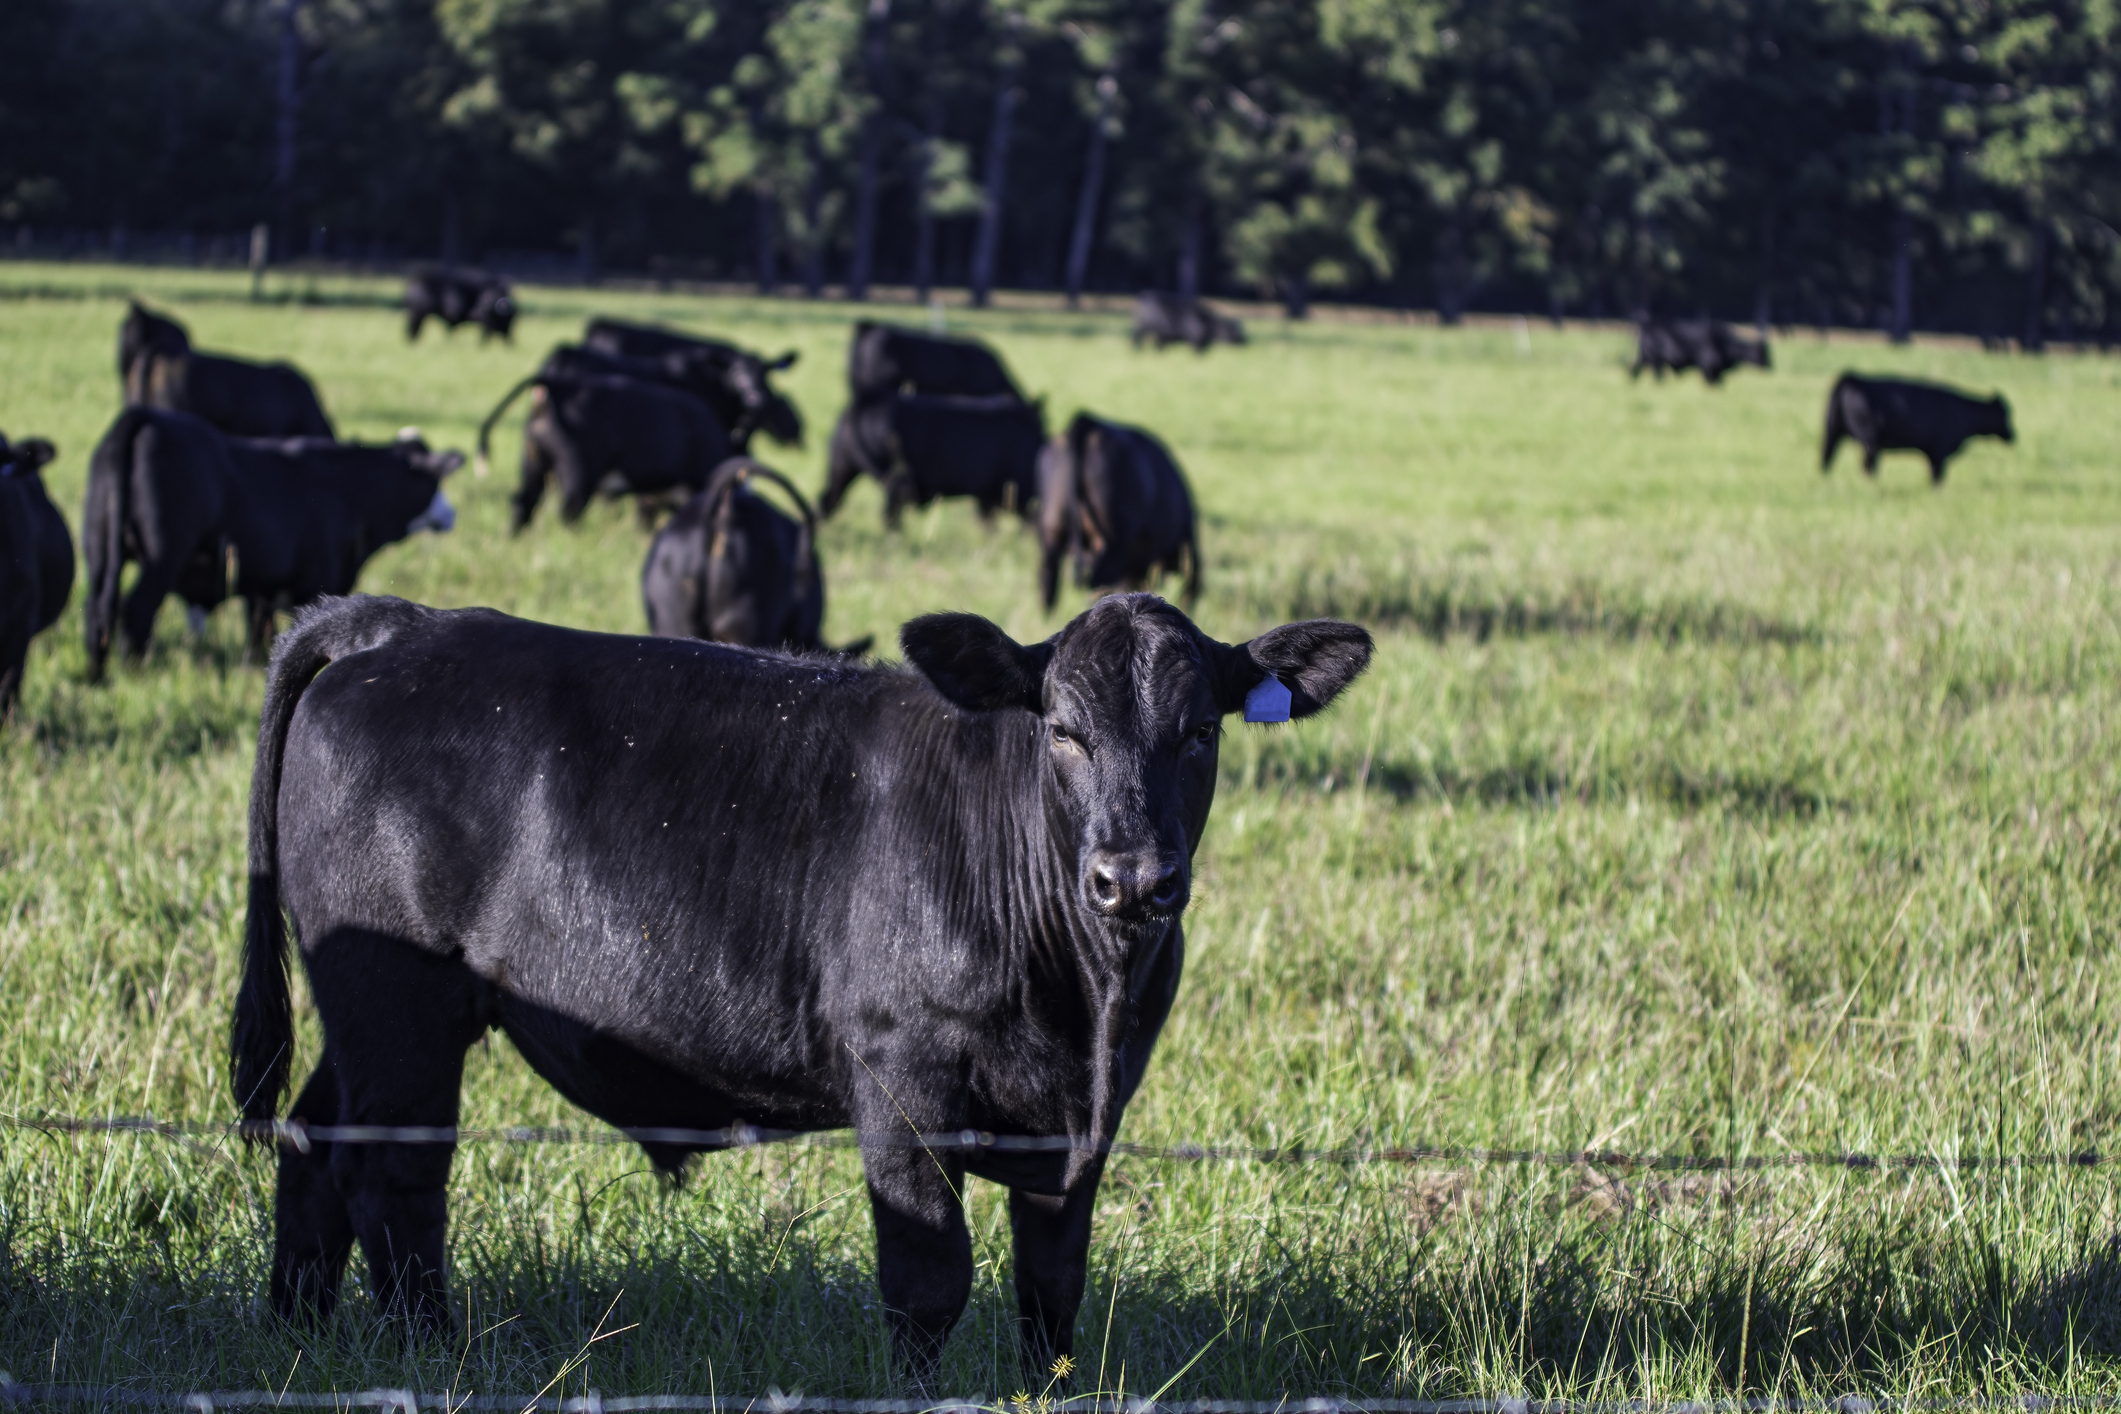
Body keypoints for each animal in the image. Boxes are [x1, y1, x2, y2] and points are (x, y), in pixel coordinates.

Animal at [82, 409, 457, 676]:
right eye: (434, 482)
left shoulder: (262, 589)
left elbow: (261, 636)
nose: (451, 513)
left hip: (99, 553)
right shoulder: (311, 585)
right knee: (137, 610)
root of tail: (147, 416)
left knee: (99, 610)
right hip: (162, 561)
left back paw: (98, 674)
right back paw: (135, 669)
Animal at [229, 589, 1372, 1387]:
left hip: (367, 1016)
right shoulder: (903, 1078)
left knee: (313, 1144)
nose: (1131, 877)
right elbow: (928, 1280)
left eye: (1201, 731)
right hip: (400, 1003)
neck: (1084, 1003)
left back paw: (297, 1333)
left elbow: (1052, 1286)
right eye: (1061, 728)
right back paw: (432, 1355)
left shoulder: (1086, 1117)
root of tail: (400, 623)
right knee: (396, 1179)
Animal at [820, 394, 1043, 529]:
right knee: (889, 515)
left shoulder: (988, 495)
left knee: (828, 501)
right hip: (892, 480)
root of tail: (864, 402)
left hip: (842, 468)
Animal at [1629, 317, 1771, 385]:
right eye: (1763, 353)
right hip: (1655, 360)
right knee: (1658, 376)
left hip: (1645, 357)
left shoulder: (1716, 371)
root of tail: (1646, 324)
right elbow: (1712, 384)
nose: (1771, 366)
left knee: (1634, 370)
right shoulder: (1707, 367)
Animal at [1821, 373, 2014, 484]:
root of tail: (1851, 378)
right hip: (1870, 441)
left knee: (1827, 459)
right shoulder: (1940, 452)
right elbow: (1937, 477)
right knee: (1868, 465)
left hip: (1832, 432)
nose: (2014, 435)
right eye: (2005, 414)